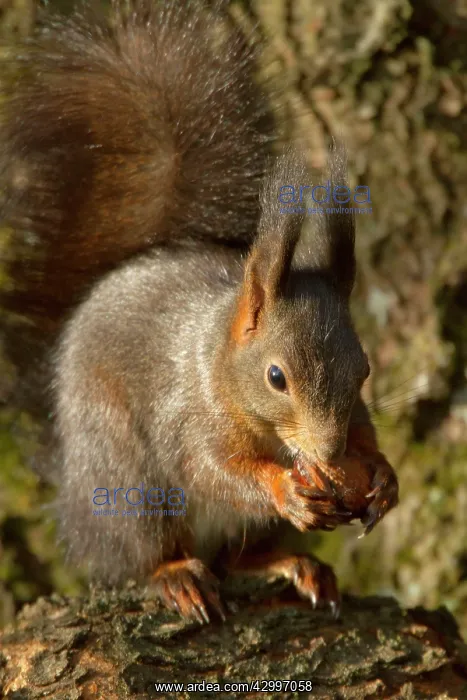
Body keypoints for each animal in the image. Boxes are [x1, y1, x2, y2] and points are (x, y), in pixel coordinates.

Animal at [0, 0, 399, 623]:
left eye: (364, 370)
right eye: (276, 377)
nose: (329, 453)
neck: (220, 366)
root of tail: (73, 501)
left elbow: (366, 437)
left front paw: (382, 477)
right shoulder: (188, 418)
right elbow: (213, 470)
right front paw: (283, 486)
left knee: (236, 559)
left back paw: (295, 565)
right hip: (129, 485)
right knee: (141, 558)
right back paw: (176, 576)